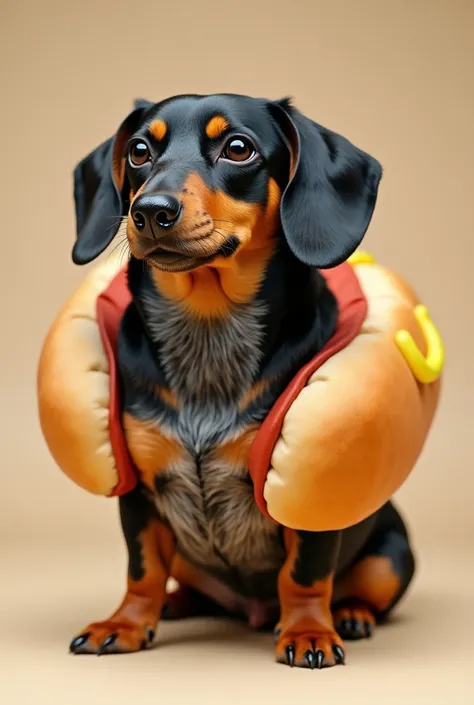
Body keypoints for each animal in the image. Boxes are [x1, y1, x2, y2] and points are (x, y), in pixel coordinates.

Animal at [67, 92, 414, 664]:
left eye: (238, 148)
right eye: (139, 151)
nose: (150, 211)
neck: (207, 329)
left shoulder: (300, 485)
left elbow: (305, 574)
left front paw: (308, 632)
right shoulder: (139, 492)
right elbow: (142, 569)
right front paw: (126, 623)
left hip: (393, 555)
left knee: (361, 589)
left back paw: (349, 613)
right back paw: (177, 601)